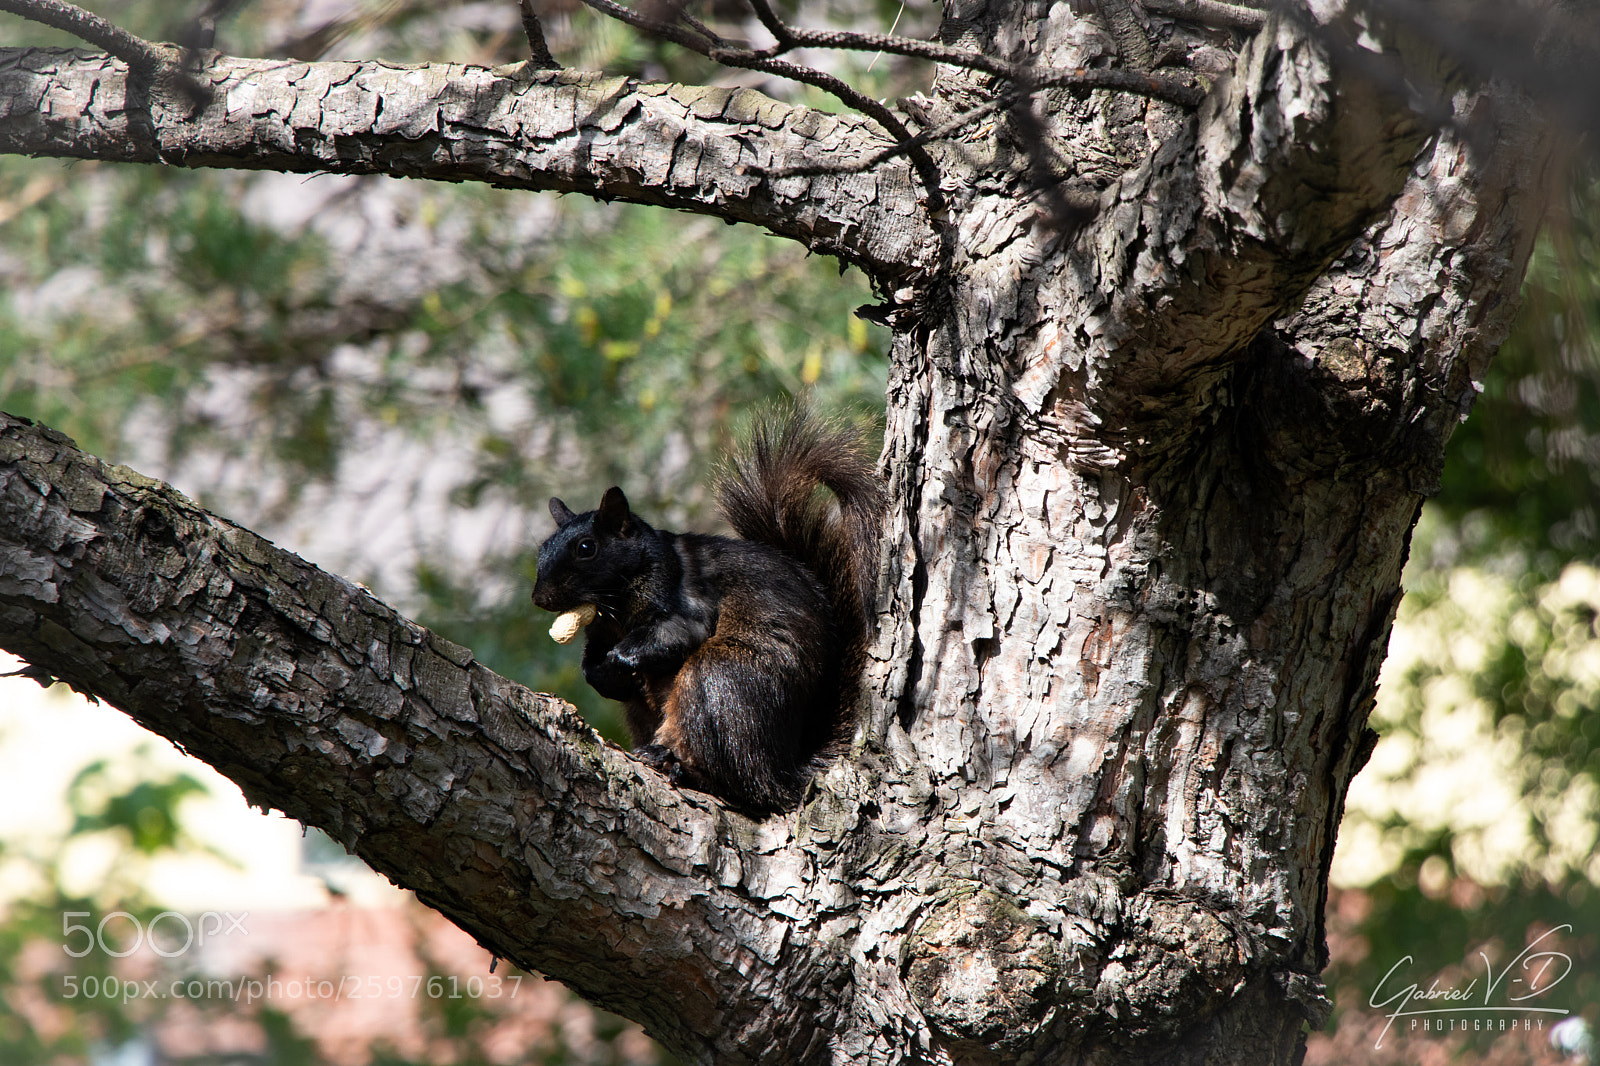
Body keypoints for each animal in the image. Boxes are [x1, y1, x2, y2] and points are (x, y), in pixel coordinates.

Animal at [531, 408, 884, 812]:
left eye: (586, 548)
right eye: (543, 547)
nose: (540, 598)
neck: (616, 609)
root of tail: (788, 769)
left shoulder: (690, 604)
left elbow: (675, 635)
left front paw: (620, 661)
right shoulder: (600, 632)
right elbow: (592, 658)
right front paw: (601, 675)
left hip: (719, 681)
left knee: (749, 786)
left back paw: (681, 767)